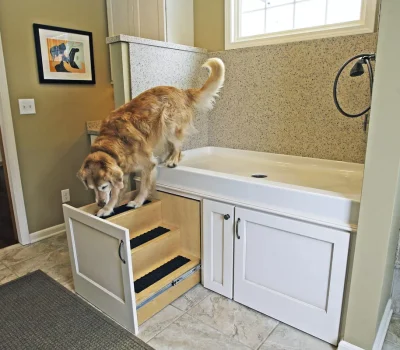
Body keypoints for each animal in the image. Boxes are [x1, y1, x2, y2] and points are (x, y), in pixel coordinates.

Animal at [76, 58, 223, 216]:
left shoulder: (147, 165)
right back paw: (167, 158)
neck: (113, 142)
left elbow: (143, 186)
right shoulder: (122, 170)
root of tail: (182, 91)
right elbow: (116, 191)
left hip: (168, 123)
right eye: (92, 188)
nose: (100, 203)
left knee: (177, 146)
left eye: (103, 187)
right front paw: (108, 208)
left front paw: (137, 201)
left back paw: (172, 160)